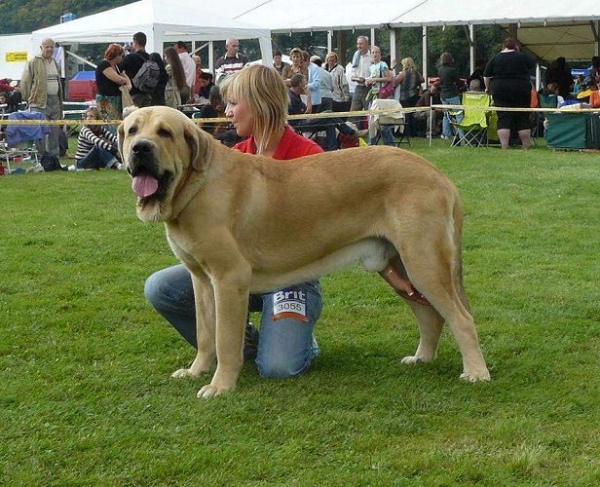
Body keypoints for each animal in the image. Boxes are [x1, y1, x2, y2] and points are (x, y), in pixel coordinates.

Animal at [119, 106, 490, 396]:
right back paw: (422, 358)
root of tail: (439, 175)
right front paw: (197, 370)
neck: (195, 186)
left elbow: (224, 338)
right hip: (401, 267)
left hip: (424, 263)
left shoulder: (228, 278)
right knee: (430, 315)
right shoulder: (201, 280)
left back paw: (476, 372)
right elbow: (205, 333)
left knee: (461, 318)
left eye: (165, 133)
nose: (140, 149)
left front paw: (220, 385)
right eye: (132, 130)